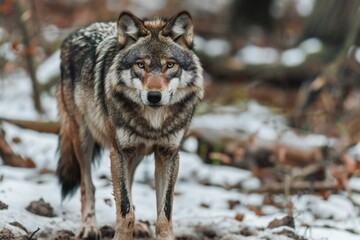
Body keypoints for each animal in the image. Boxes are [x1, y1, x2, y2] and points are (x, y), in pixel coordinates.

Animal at [55, 10, 202, 240]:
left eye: (170, 65)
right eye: (140, 65)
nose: (154, 96)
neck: (153, 123)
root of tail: (76, 32)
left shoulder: (168, 154)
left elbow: (164, 212)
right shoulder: (119, 151)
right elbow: (124, 210)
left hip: (136, 154)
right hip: (83, 139)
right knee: (88, 186)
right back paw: (89, 227)